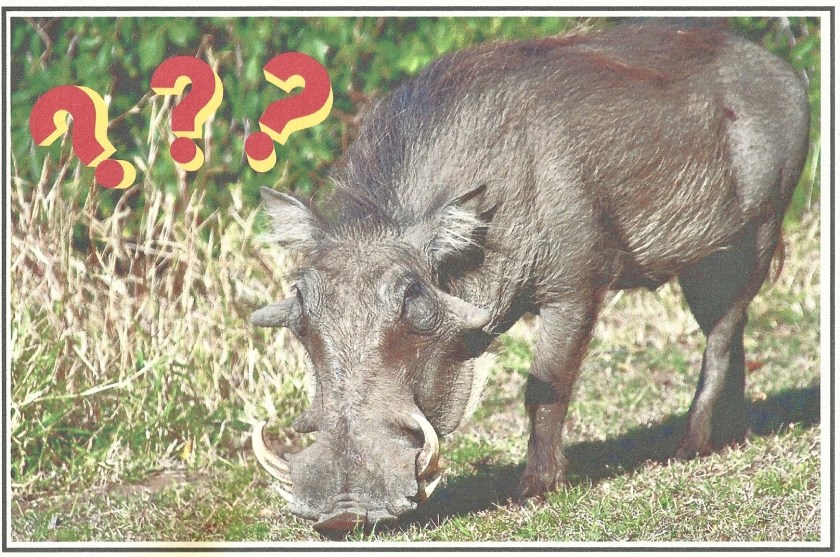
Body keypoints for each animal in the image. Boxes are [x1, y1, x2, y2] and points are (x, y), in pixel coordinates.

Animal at [249, 20, 810, 536]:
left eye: (412, 302)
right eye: (300, 312)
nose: (343, 515)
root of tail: (782, 68)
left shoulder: (575, 288)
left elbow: (546, 386)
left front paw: (536, 489)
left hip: (758, 232)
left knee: (721, 335)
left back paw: (689, 447)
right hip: (705, 262)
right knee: (729, 330)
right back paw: (732, 433)